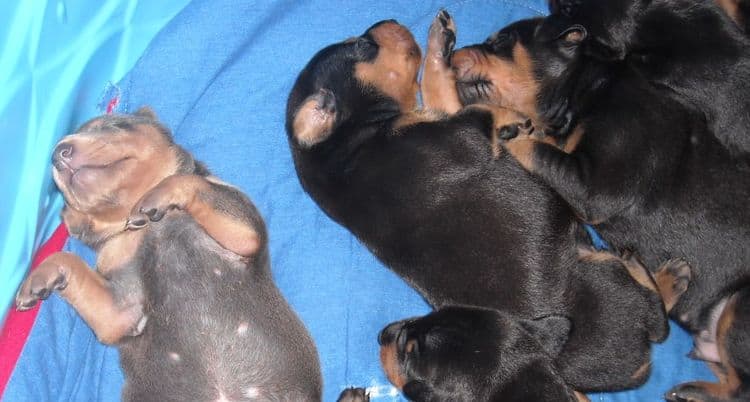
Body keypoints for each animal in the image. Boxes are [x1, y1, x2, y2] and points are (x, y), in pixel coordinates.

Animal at [13, 107, 320, 402]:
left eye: (113, 125)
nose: (58, 153)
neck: (145, 226)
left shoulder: (244, 228)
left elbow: (185, 180)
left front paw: (155, 196)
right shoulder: (121, 311)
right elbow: (69, 260)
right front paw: (36, 280)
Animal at [290, 16, 688, 398]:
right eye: (361, 45)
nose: (387, 21)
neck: (341, 148)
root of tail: (638, 363)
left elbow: (440, 91)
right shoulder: (463, 132)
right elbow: (456, 97)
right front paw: (509, 117)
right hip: (600, 268)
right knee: (653, 307)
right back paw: (665, 275)